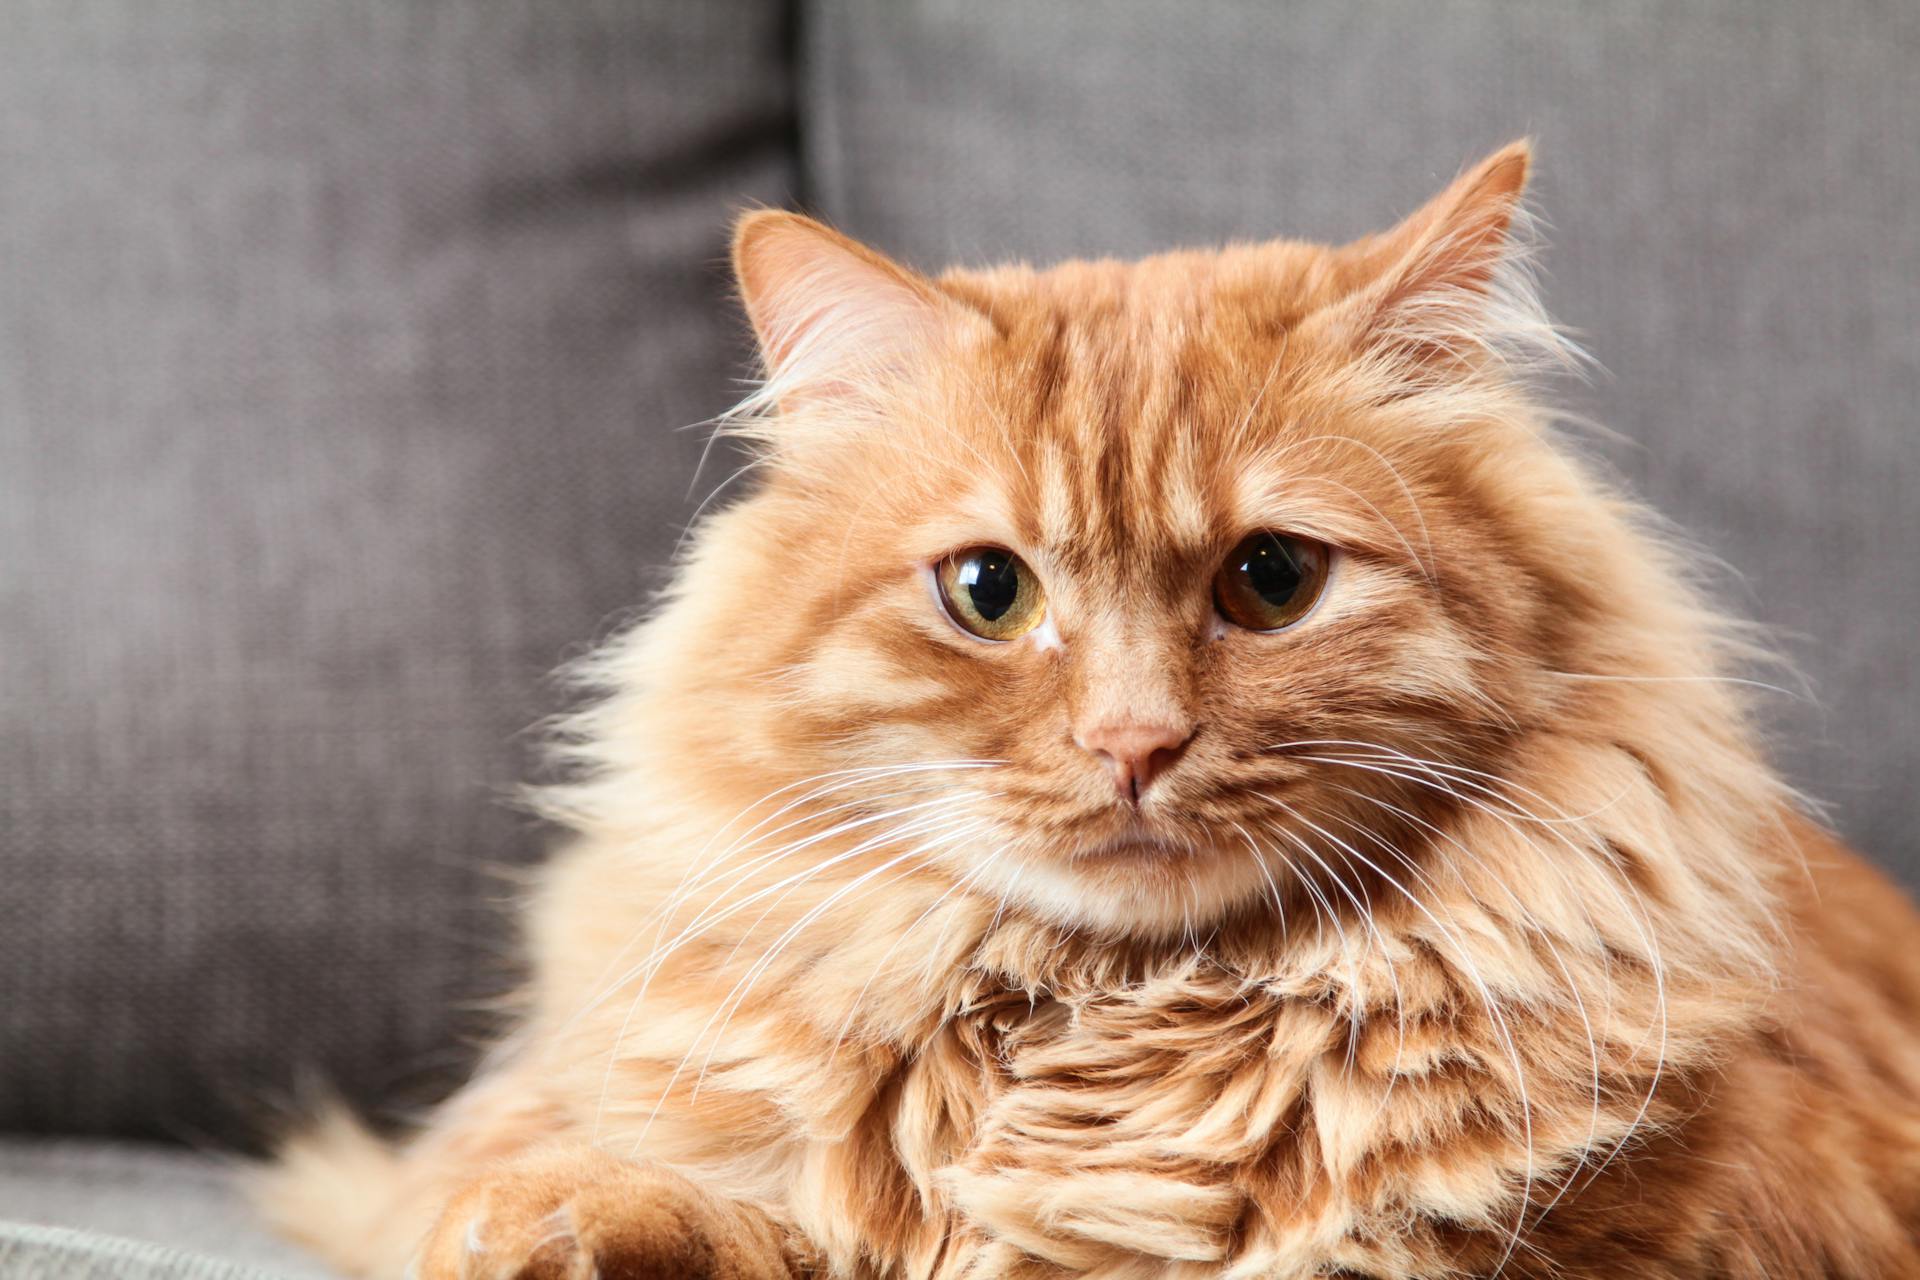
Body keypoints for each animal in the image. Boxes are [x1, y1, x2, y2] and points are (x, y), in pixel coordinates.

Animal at [251, 144, 1920, 1274]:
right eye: (989, 592)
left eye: (1271, 579)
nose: (1133, 742)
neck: (1115, 1030)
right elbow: (584, 1197)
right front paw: (588, 1228)